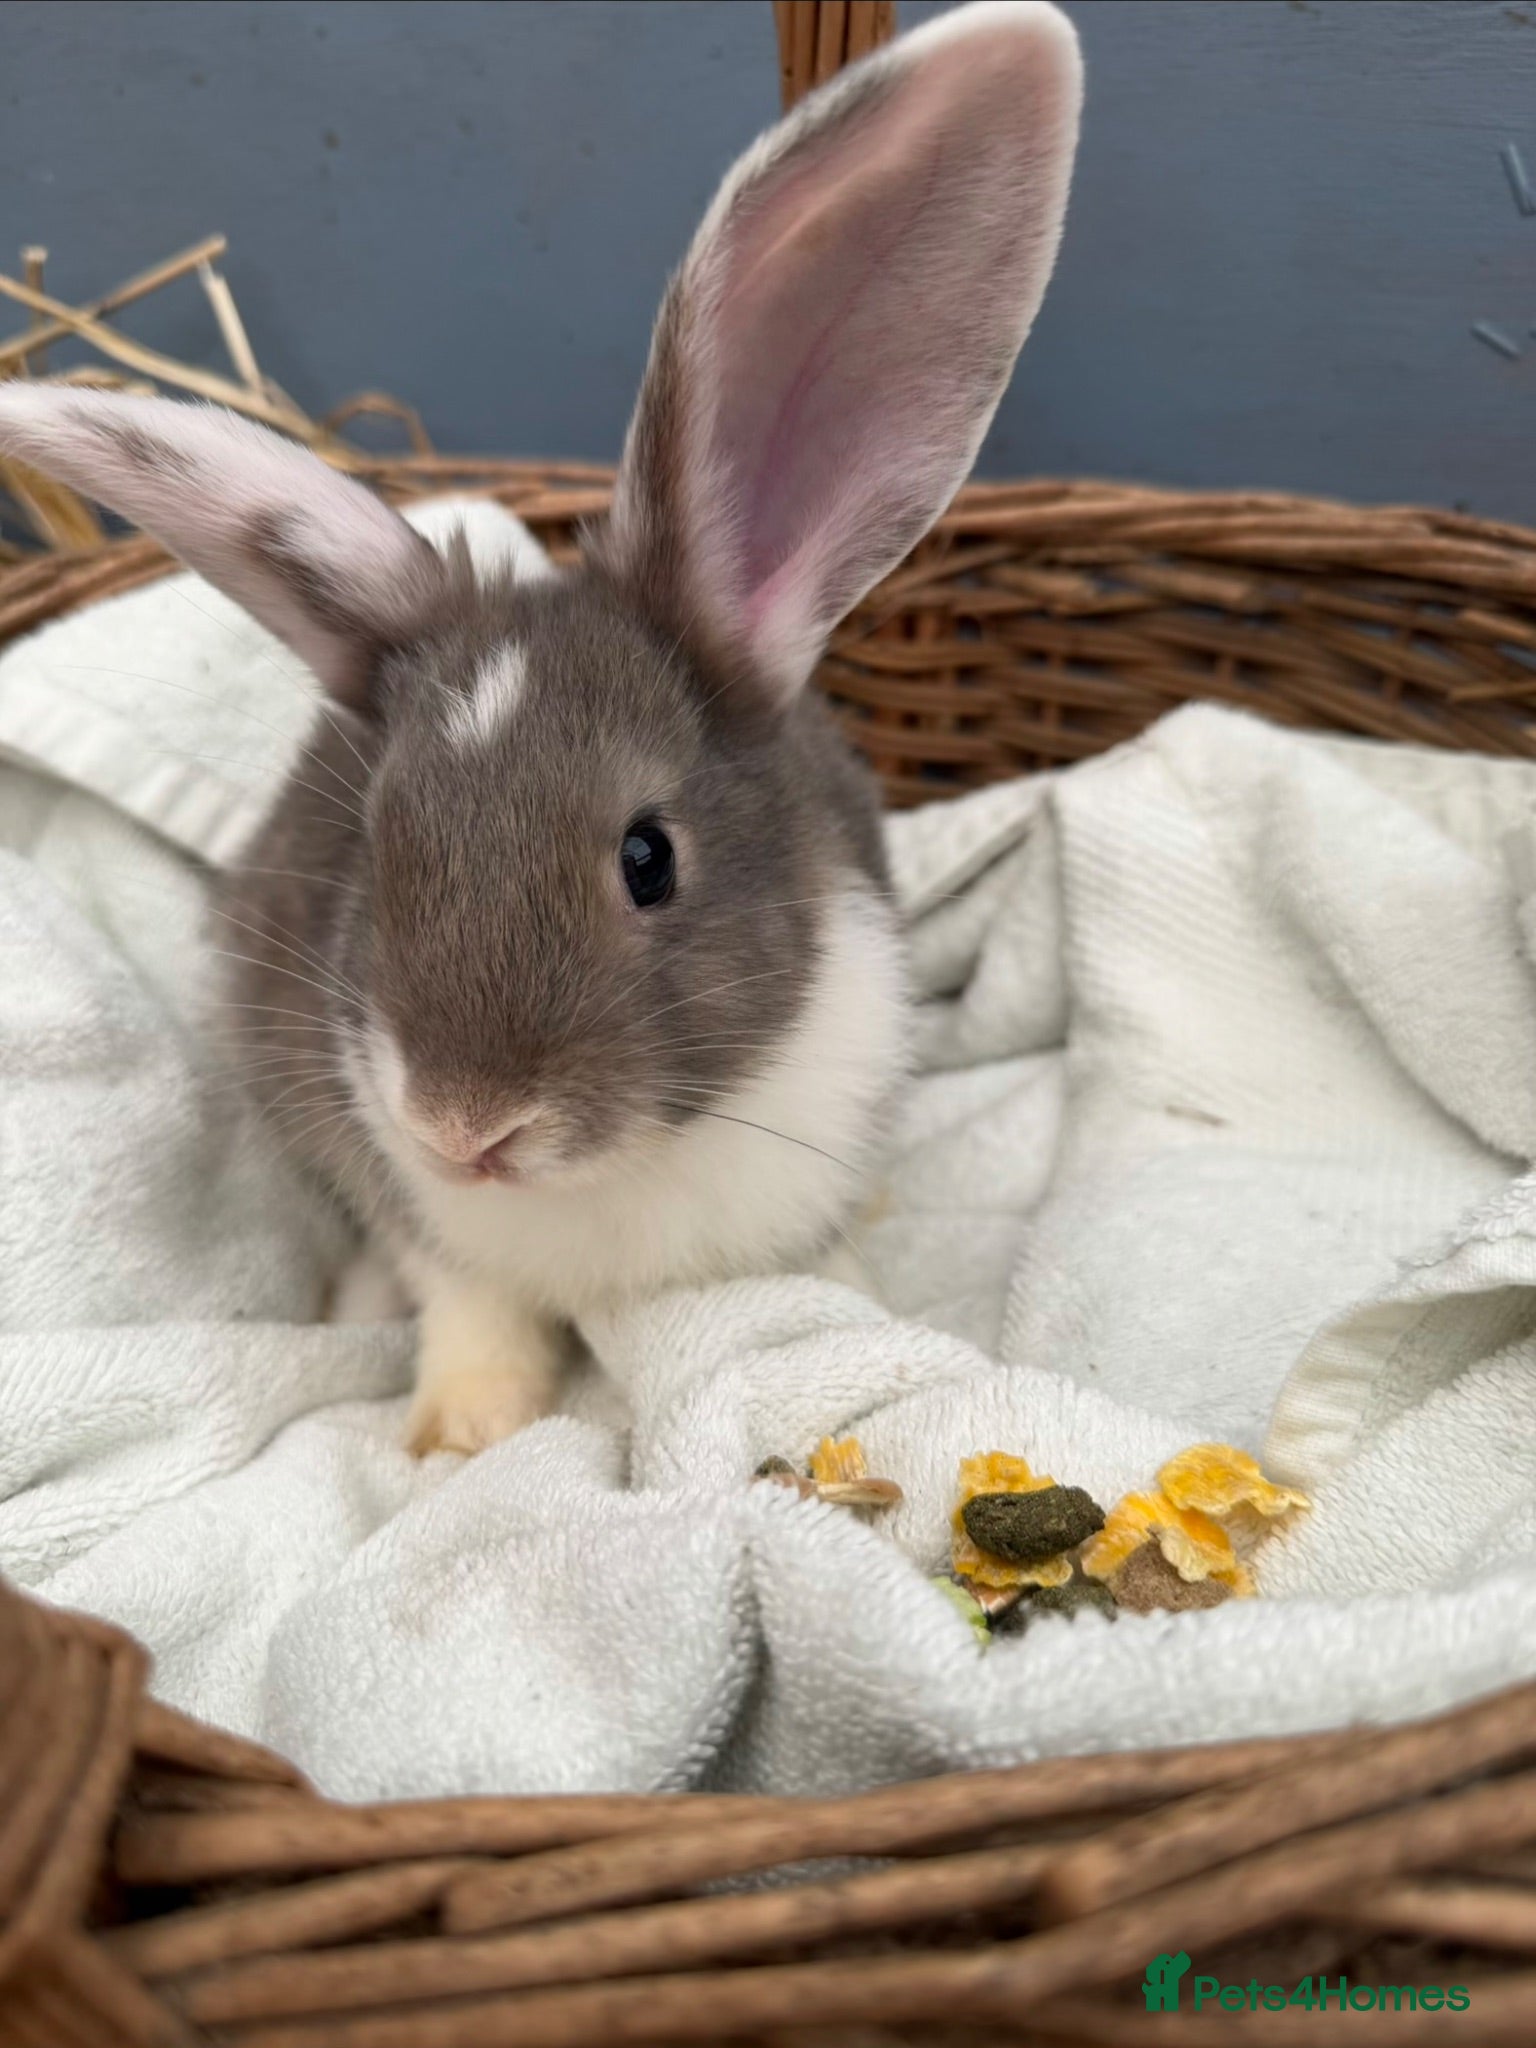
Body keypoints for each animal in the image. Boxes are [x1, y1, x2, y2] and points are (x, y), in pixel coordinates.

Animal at [0, 0, 1082, 1456]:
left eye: (649, 859)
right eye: (380, 851)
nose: (467, 1129)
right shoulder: (429, 1218)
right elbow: (473, 1311)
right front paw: (461, 1440)